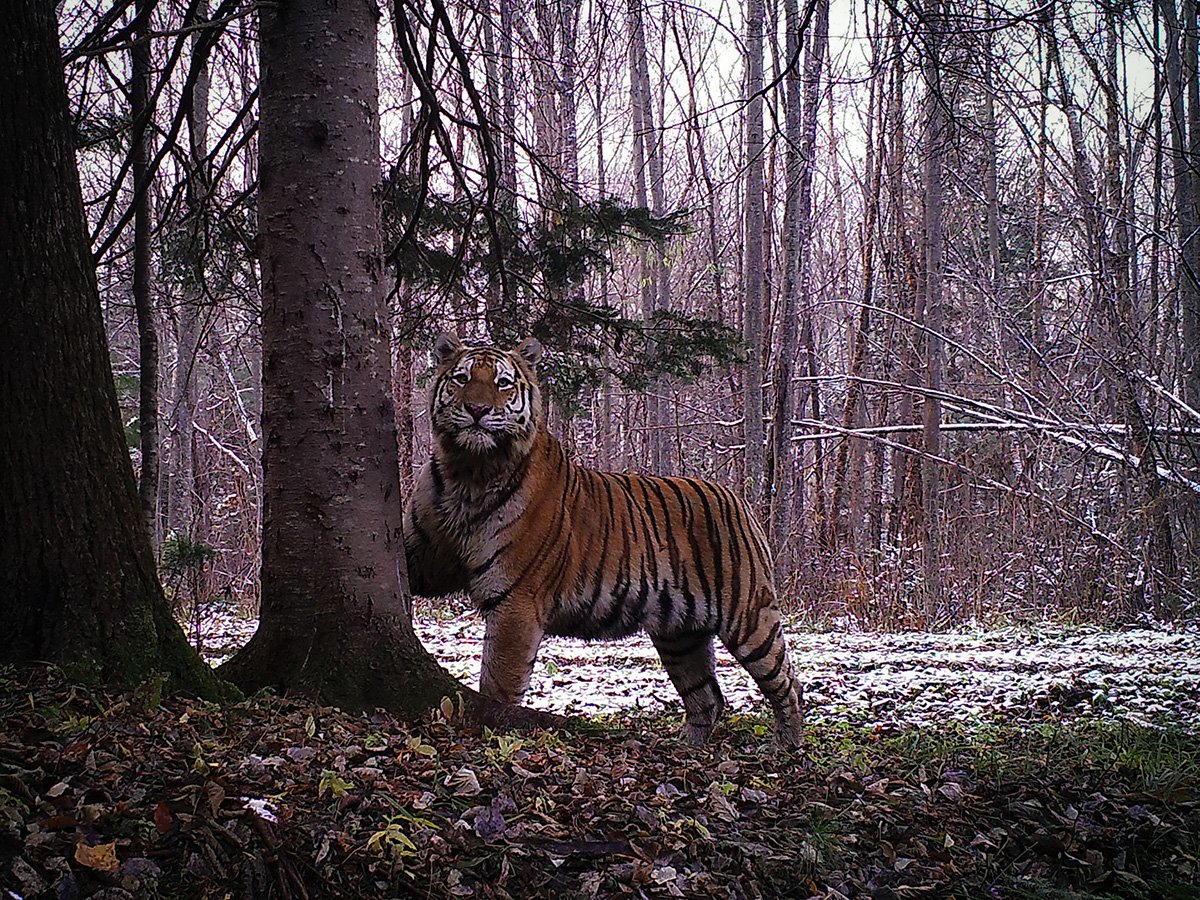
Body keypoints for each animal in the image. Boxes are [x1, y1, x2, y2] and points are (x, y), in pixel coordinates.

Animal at [405, 331, 806, 748]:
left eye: (502, 383)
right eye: (462, 378)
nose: (478, 410)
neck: (468, 472)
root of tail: (737, 499)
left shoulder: (516, 602)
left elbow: (498, 682)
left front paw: (495, 735)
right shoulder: (424, 560)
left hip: (748, 616)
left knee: (787, 683)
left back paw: (787, 745)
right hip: (680, 636)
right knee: (707, 695)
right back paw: (688, 746)